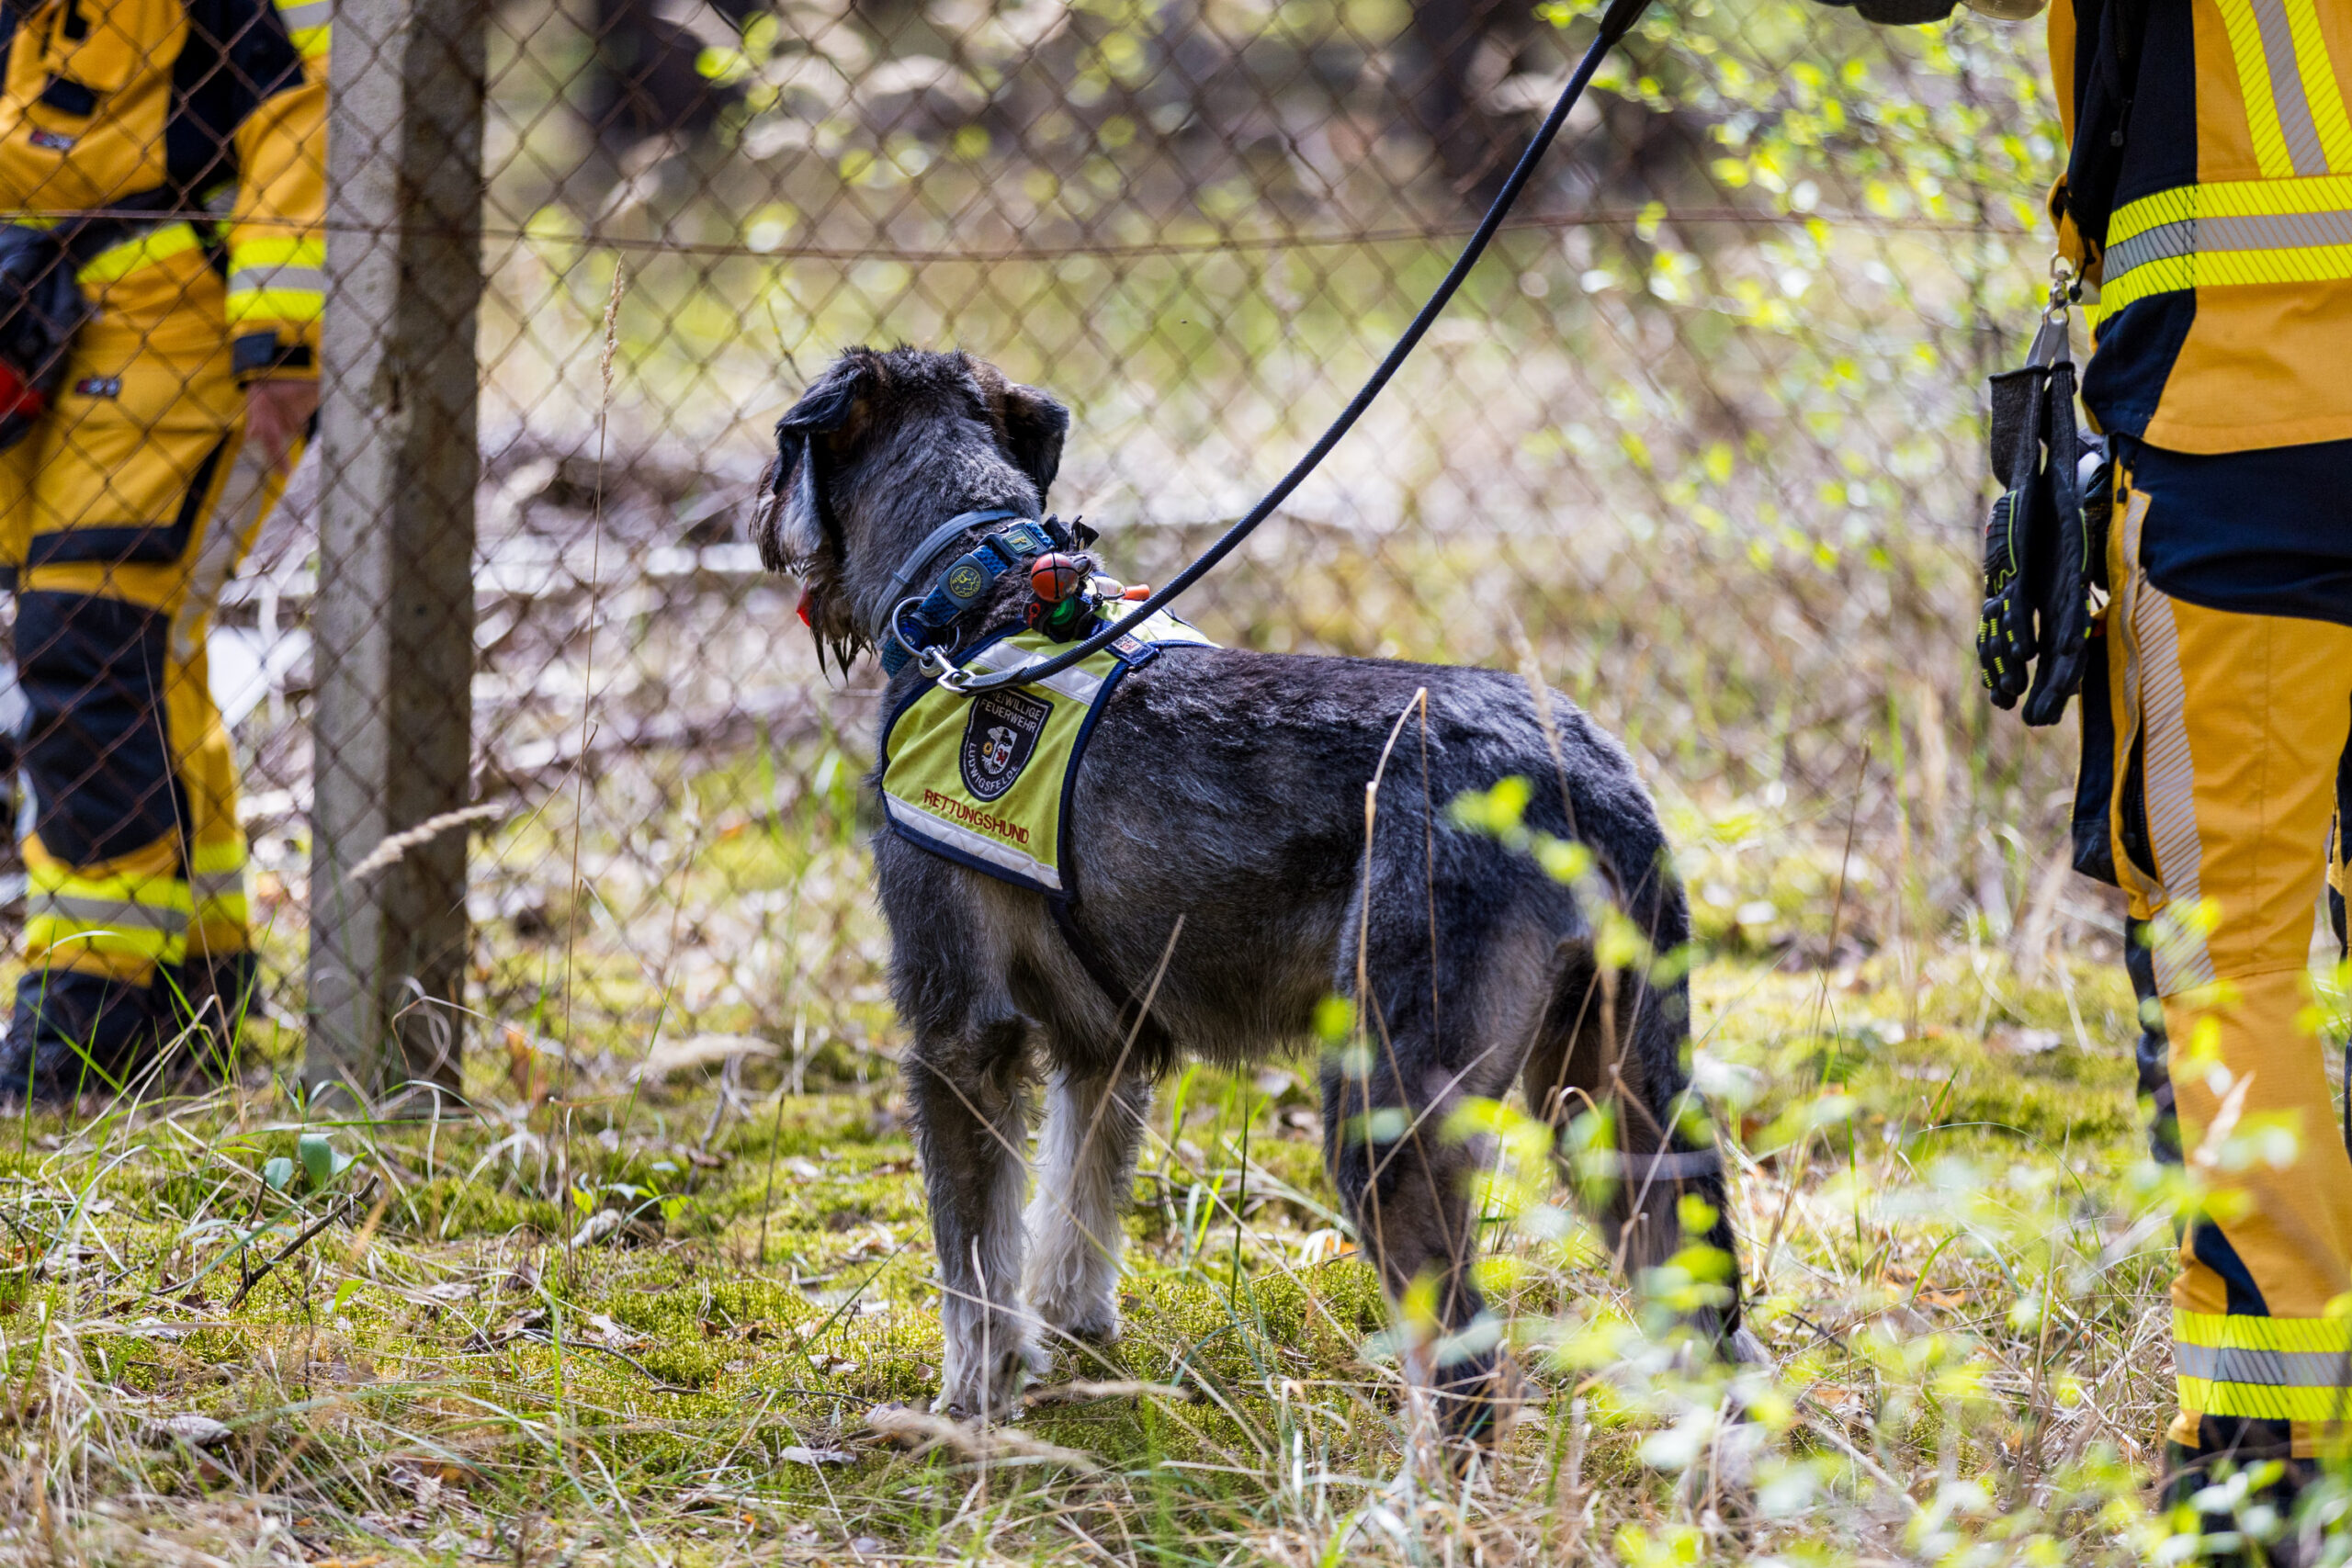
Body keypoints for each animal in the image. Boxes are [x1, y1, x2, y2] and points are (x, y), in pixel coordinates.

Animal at [757, 346, 1749, 1431]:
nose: (760, 518)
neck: (969, 593)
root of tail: (1581, 785)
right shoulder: (1104, 1041)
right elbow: (1077, 1194)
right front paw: (1074, 1328)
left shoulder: (959, 1030)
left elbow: (973, 1251)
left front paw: (968, 1402)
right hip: (1617, 1096)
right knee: (1711, 1323)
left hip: (1388, 1116)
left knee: (1468, 1372)